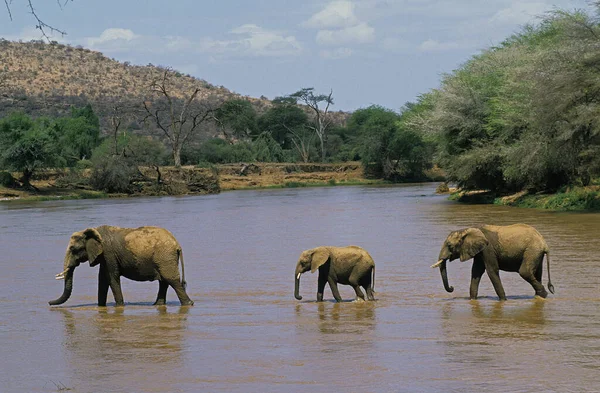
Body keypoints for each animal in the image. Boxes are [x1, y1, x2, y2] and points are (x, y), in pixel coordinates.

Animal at [50, 224, 195, 306]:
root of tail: (177, 244)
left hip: (165, 257)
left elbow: (111, 278)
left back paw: (188, 304)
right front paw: (100, 307)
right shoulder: (105, 257)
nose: (49, 303)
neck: (93, 231)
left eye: (73, 249)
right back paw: (157, 305)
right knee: (164, 281)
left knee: (172, 280)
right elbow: (102, 280)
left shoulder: (109, 254)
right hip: (163, 258)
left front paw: (119, 306)